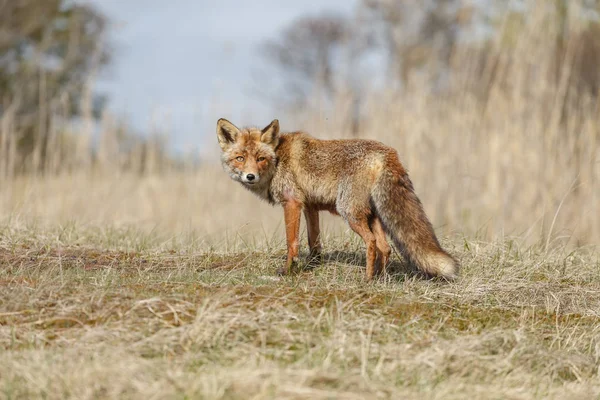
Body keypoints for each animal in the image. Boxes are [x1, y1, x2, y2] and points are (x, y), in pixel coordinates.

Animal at [217, 118, 460, 282]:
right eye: (240, 158)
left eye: (260, 159)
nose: (250, 176)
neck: (278, 160)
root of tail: (388, 152)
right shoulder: (310, 206)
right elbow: (313, 241)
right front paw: (313, 265)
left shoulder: (292, 202)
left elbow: (291, 242)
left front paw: (287, 271)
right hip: (371, 214)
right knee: (385, 246)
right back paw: (380, 278)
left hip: (349, 211)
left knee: (372, 242)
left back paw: (367, 279)